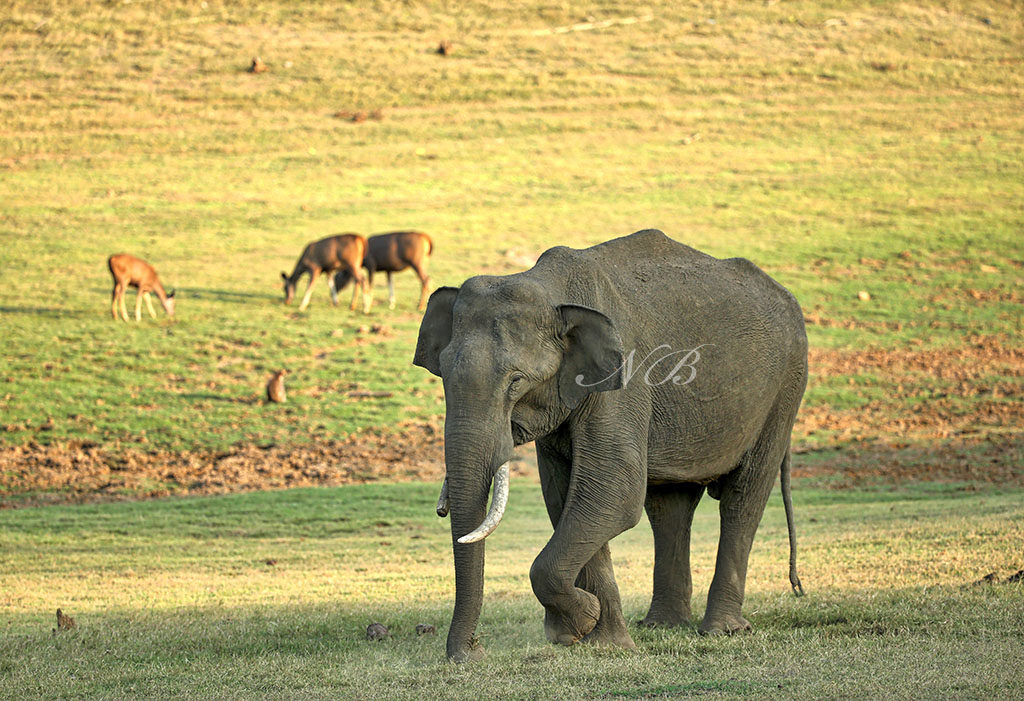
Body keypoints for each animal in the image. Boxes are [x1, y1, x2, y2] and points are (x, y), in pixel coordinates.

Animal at [409, 229, 806, 663]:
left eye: (516, 381)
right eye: (443, 374)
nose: (473, 653)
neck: (550, 287)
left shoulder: (624, 380)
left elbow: (611, 492)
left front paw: (579, 623)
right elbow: (568, 498)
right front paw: (598, 638)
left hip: (785, 389)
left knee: (743, 497)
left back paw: (722, 630)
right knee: (670, 506)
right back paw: (663, 625)